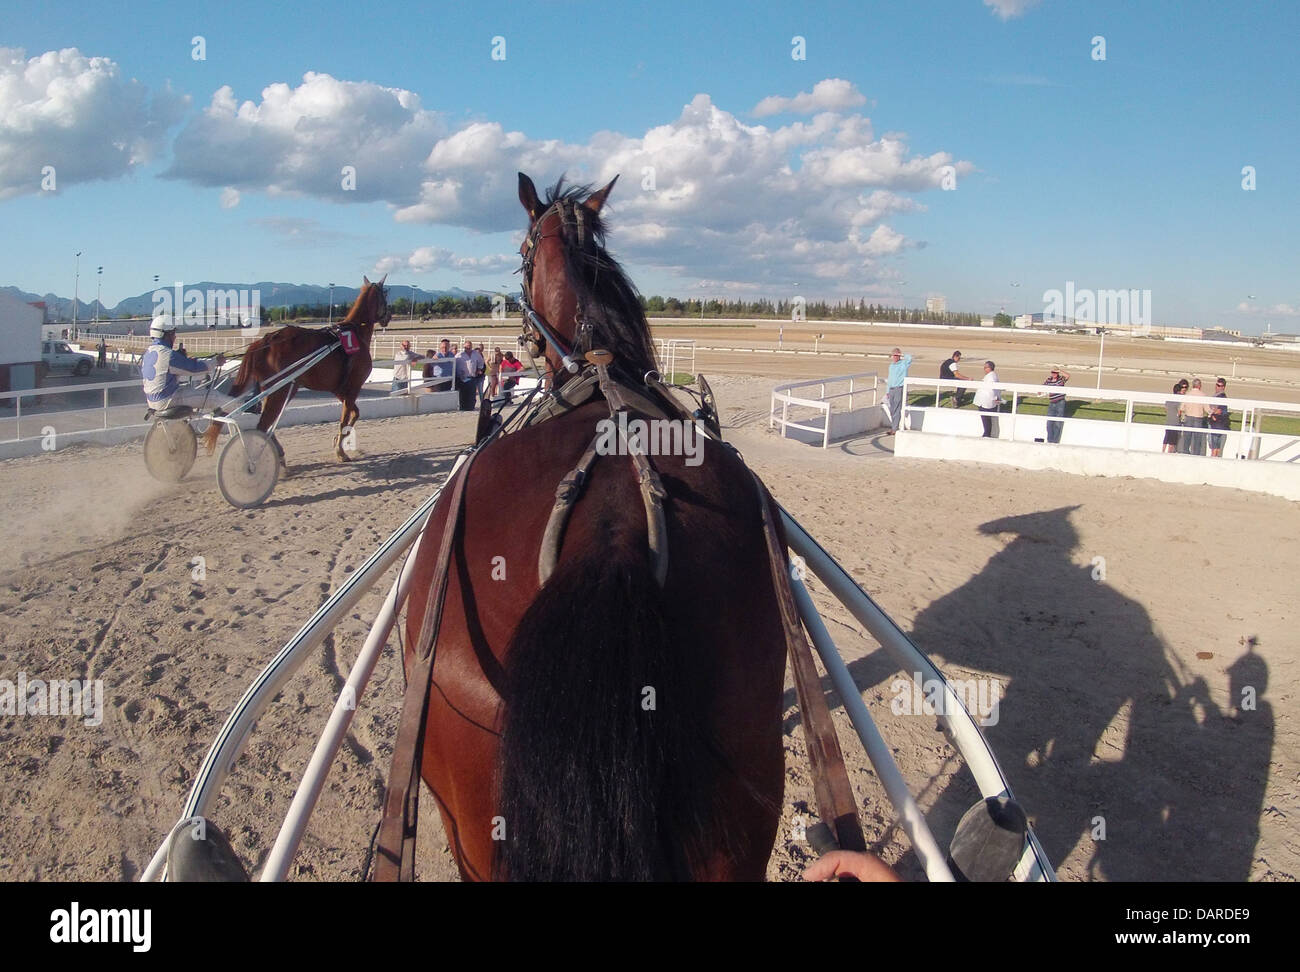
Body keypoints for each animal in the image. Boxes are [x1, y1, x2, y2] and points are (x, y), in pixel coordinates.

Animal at [211, 275, 391, 466]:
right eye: (385, 295)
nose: (388, 316)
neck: (355, 332)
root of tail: (266, 340)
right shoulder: (354, 386)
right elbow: (345, 420)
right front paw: (340, 451)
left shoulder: (339, 390)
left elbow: (355, 414)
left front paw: (337, 441)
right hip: (282, 390)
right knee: (263, 425)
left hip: (274, 391)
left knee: (267, 425)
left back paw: (279, 454)